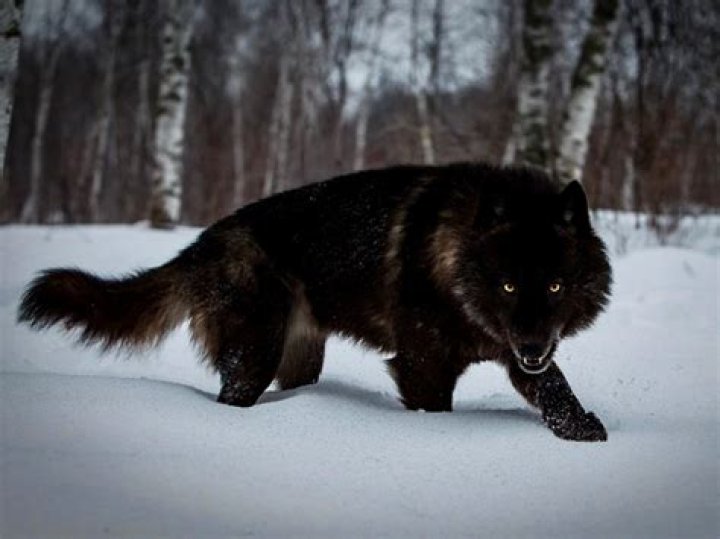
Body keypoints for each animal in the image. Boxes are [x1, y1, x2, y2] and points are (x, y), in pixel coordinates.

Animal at [18, 163, 611, 441]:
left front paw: (583, 430)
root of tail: (203, 242)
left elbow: (556, 389)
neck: (453, 260)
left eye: (555, 287)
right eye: (507, 286)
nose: (532, 346)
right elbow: (435, 412)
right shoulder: (423, 367)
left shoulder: (520, 353)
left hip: (299, 359)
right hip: (253, 357)